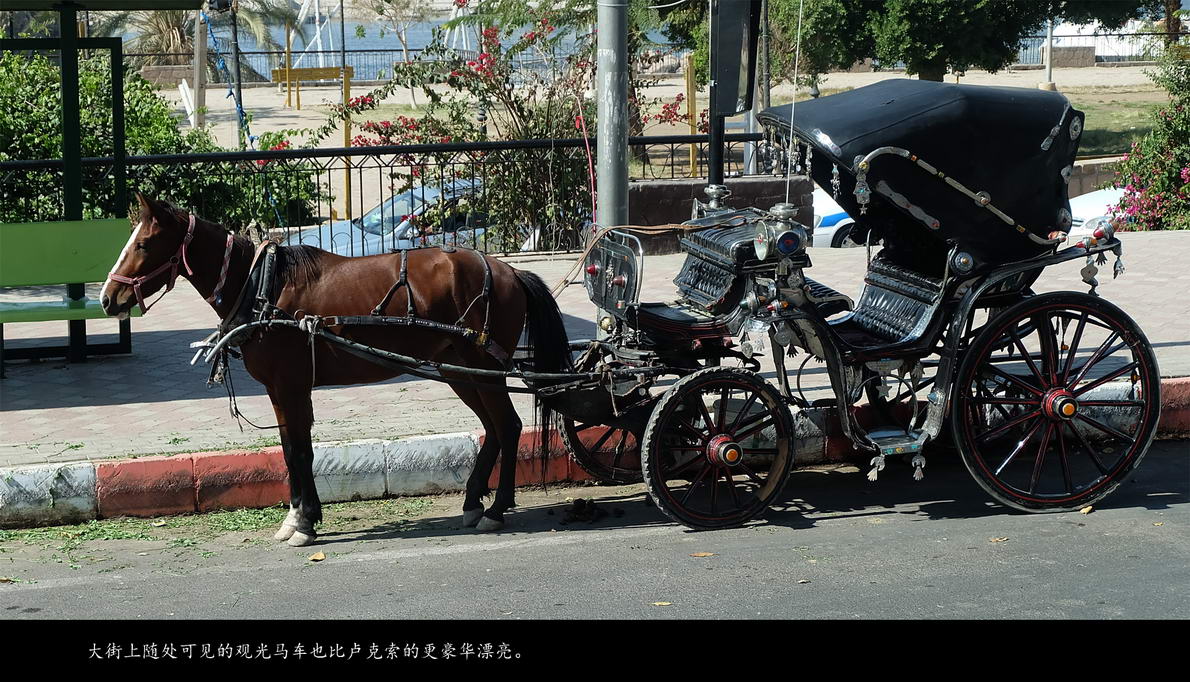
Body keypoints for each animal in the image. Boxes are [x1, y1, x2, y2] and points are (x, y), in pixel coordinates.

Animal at [102, 194, 571, 545]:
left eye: (143, 244)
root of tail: (509, 270)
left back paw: (497, 507)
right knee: (493, 429)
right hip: (460, 370)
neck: (263, 287)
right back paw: (474, 501)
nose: (107, 298)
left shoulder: (290, 385)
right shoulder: (282, 389)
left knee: (508, 426)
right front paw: (299, 516)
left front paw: (304, 522)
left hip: (481, 366)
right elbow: (291, 449)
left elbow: (299, 451)